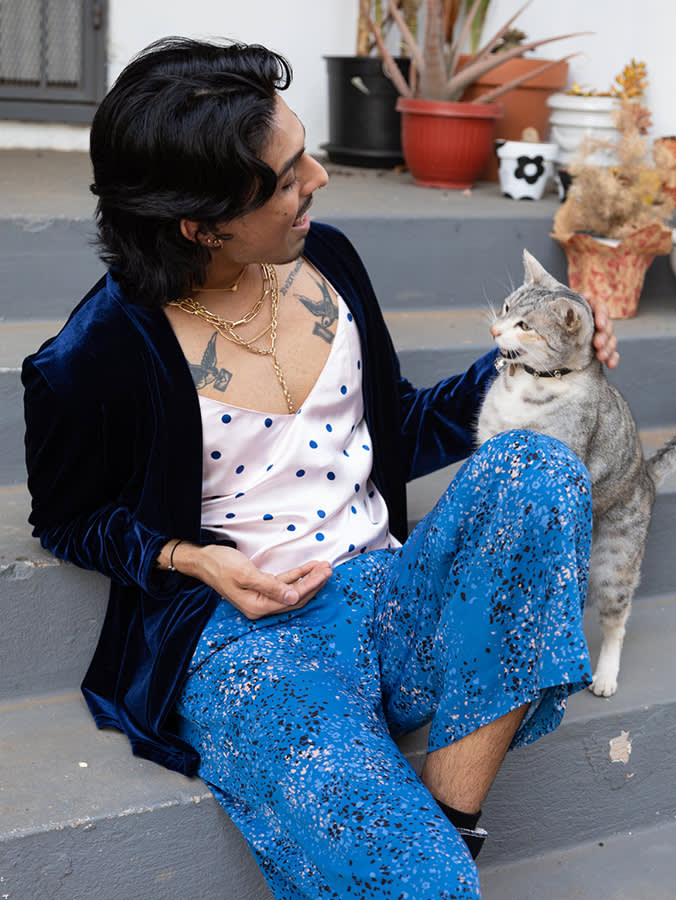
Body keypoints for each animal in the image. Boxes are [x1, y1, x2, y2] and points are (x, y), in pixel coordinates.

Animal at [476, 251, 676, 696]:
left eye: (525, 326)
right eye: (507, 308)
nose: (495, 329)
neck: (531, 383)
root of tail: (645, 475)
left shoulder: (554, 454)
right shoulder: (484, 442)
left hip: (614, 563)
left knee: (617, 620)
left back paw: (605, 676)